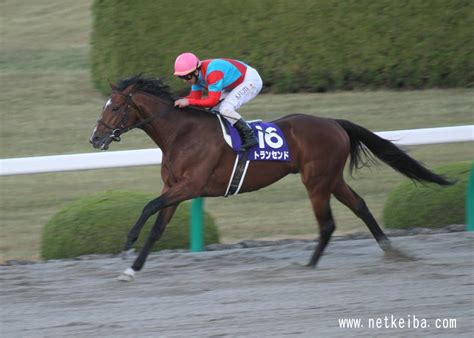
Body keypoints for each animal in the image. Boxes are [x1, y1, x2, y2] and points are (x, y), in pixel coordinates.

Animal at [88, 75, 452, 282]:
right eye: (104, 106)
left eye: (116, 108)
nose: (95, 139)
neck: (182, 133)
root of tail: (333, 122)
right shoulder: (175, 188)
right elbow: (158, 227)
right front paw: (131, 269)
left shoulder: (190, 186)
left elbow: (148, 207)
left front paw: (127, 243)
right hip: (331, 179)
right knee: (360, 206)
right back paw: (390, 251)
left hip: (316, 181)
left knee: (327, 223)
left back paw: (308, 267)